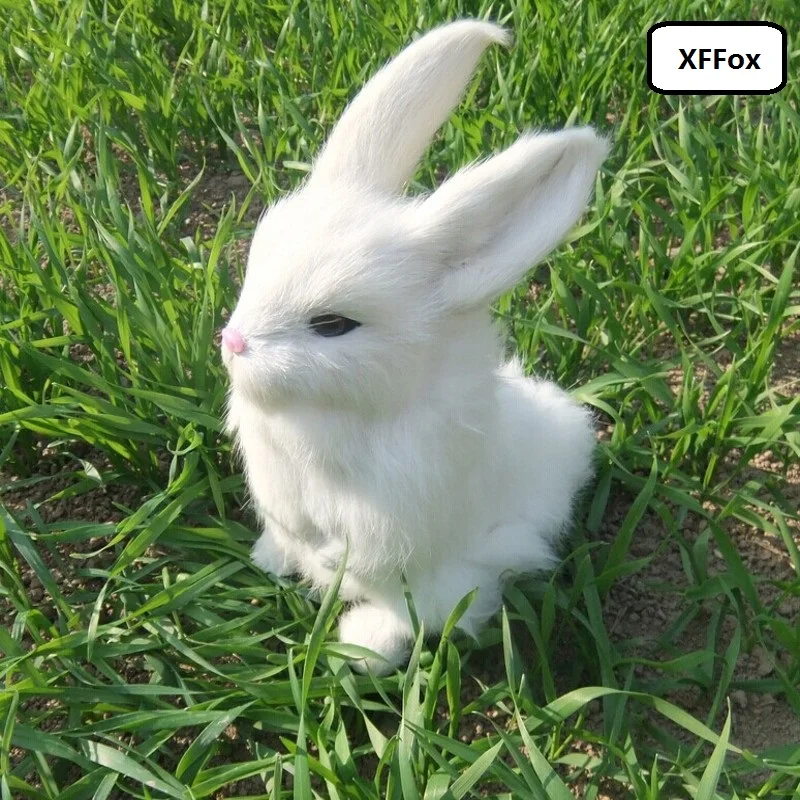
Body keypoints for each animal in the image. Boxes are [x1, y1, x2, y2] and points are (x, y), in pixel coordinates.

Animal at [221, 20, 607, 674]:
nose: (233, 341)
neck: (322, 417)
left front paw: (332, 567)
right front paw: (302, 551)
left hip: (454, 574)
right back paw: (273, 559)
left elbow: (363, 552)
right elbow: (296, 521)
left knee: (419, 614)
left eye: (333, 325)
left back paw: (358, 647)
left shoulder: (394, 513)